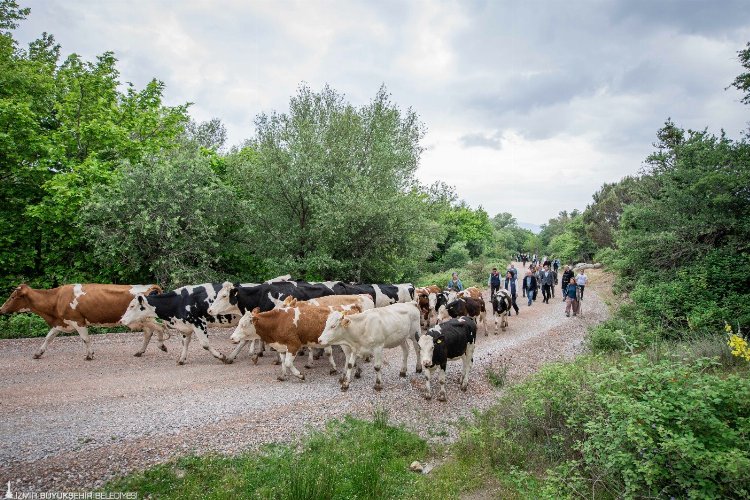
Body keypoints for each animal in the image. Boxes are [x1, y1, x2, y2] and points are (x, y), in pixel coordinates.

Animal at [0, 284, 167, 362]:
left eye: (13, 297)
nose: (1, 309)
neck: (56, 299)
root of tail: (147, 286)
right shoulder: (60, 322)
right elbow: (48, 338)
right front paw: (37, 353)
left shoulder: (78, 321)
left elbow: (85, 339)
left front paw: (89, 355)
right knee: (150, 331)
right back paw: (141, 351)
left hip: (143, 319)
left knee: (156, 329)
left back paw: (159, 346)